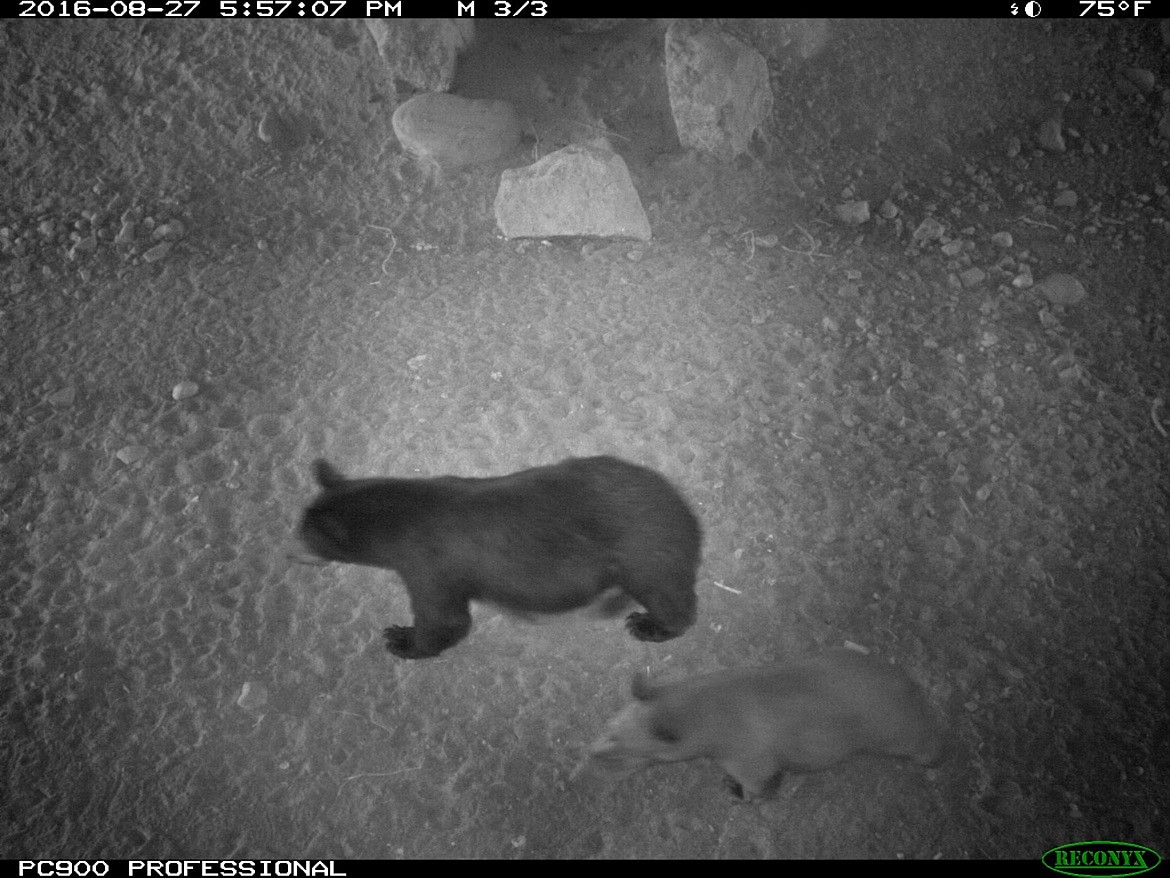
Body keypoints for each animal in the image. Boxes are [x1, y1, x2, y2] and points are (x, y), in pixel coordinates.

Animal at [297, 456, 697, 655]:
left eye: (303, 534)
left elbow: (446, 620)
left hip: (644, 555)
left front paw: (401, 639)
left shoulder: (429, 564)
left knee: (667, 596)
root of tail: (688, 514)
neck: (404, 512)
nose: (292, 550)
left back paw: (649, 624)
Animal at [585, 650, 940, 800]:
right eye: (609, 725)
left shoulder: (750, 763)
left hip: (905, 737)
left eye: (622, 746)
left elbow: (755, 789)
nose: (590, 754)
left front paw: (738, 794)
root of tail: (912, 686)